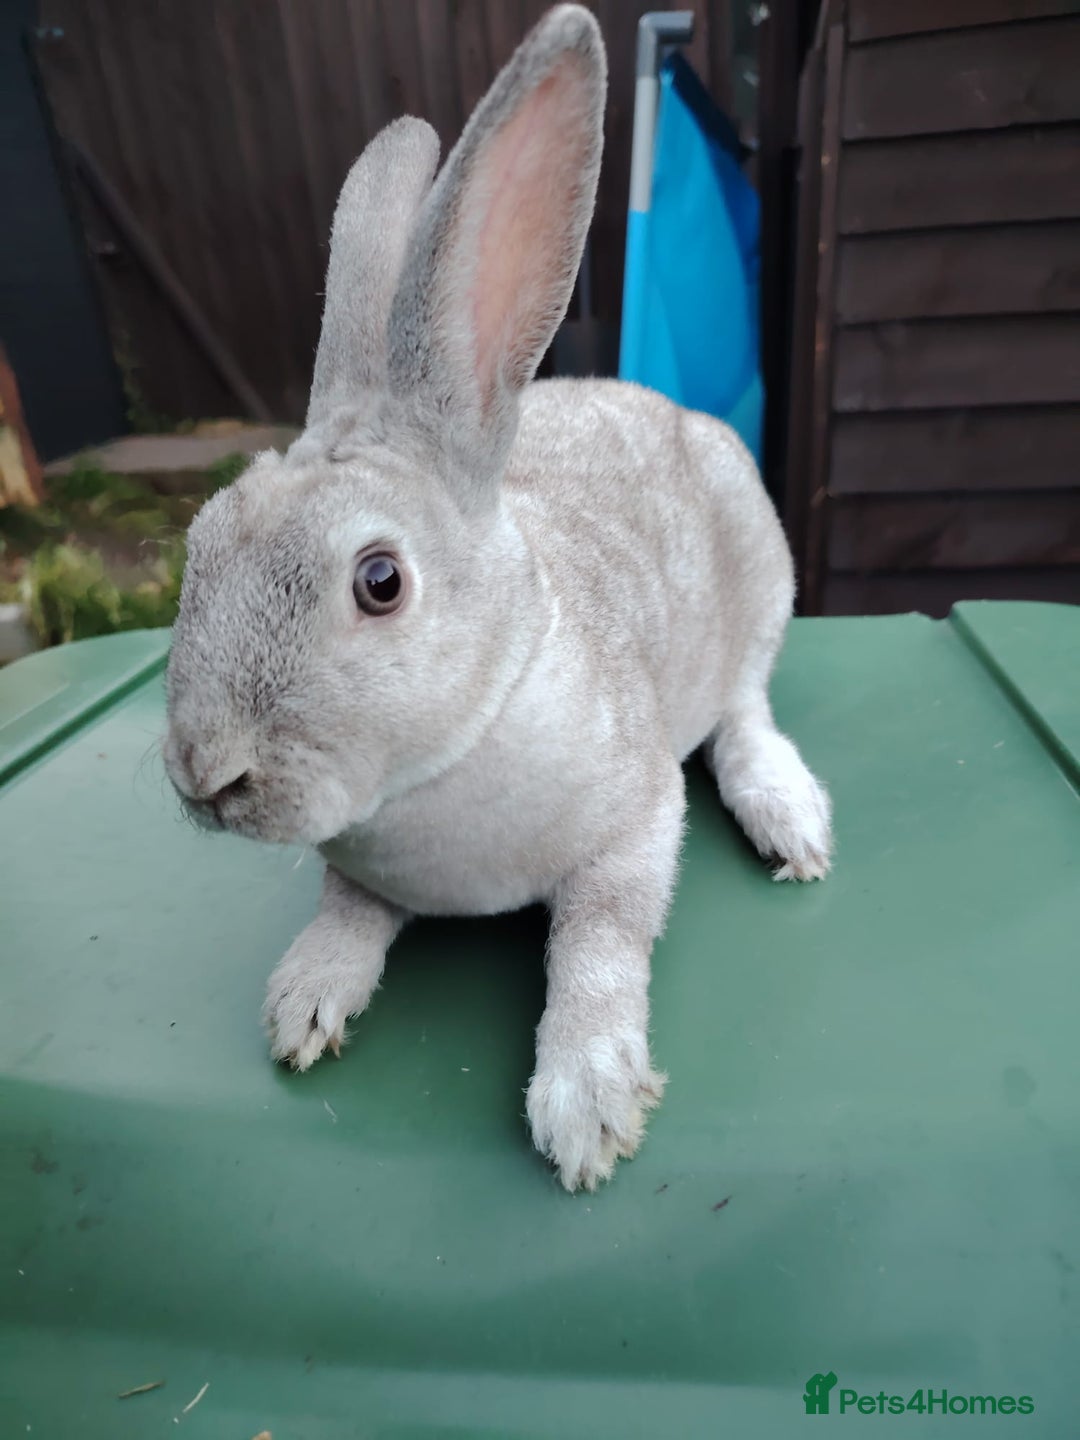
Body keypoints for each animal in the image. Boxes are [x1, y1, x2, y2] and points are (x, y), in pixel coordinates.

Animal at [163, 3, 831, 1192]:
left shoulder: (633, 823)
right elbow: (346, 911)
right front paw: (303, 1003)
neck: (446, 757)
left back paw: (786, 814)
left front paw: (587, 1104)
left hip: (762, 588)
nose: (205, 774)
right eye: (200, 543)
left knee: (746, 711)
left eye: (380, 582)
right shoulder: (362, 874)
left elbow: (600, 943)